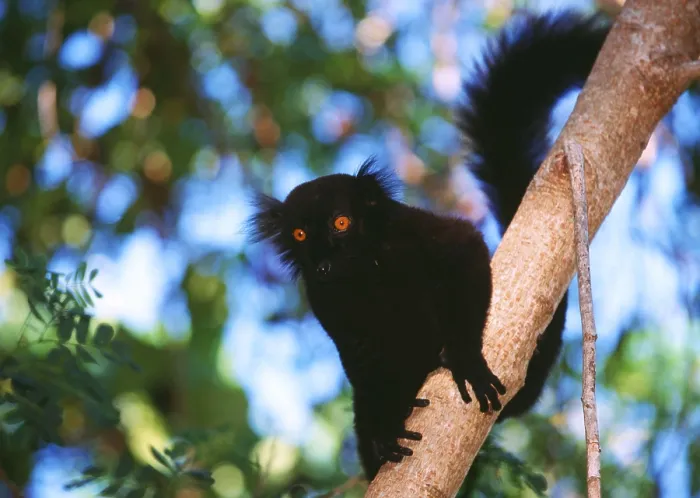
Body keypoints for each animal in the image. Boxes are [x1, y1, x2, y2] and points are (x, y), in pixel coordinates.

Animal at [248, 9, 610, 482]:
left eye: (341, 222)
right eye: (300, 235)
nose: (324, 265)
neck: (366, 270)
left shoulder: (410, 233)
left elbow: (464, 247)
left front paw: (465, 359)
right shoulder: (323, 298)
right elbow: (359, 355)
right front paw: (384, 428)